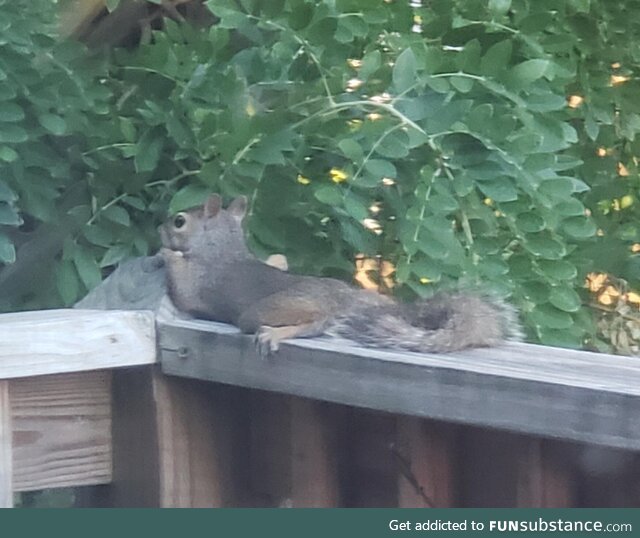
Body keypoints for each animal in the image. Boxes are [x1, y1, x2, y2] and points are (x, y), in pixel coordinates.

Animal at [159, 193, 520, 352]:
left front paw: (165, 253)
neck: (224, 246)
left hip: (263, 310)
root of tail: (349, 301)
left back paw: (276, 334)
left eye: (179, 221)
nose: (159, 229)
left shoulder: (201, 279)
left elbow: (183, 291)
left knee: (315, 322)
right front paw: (278, 260)